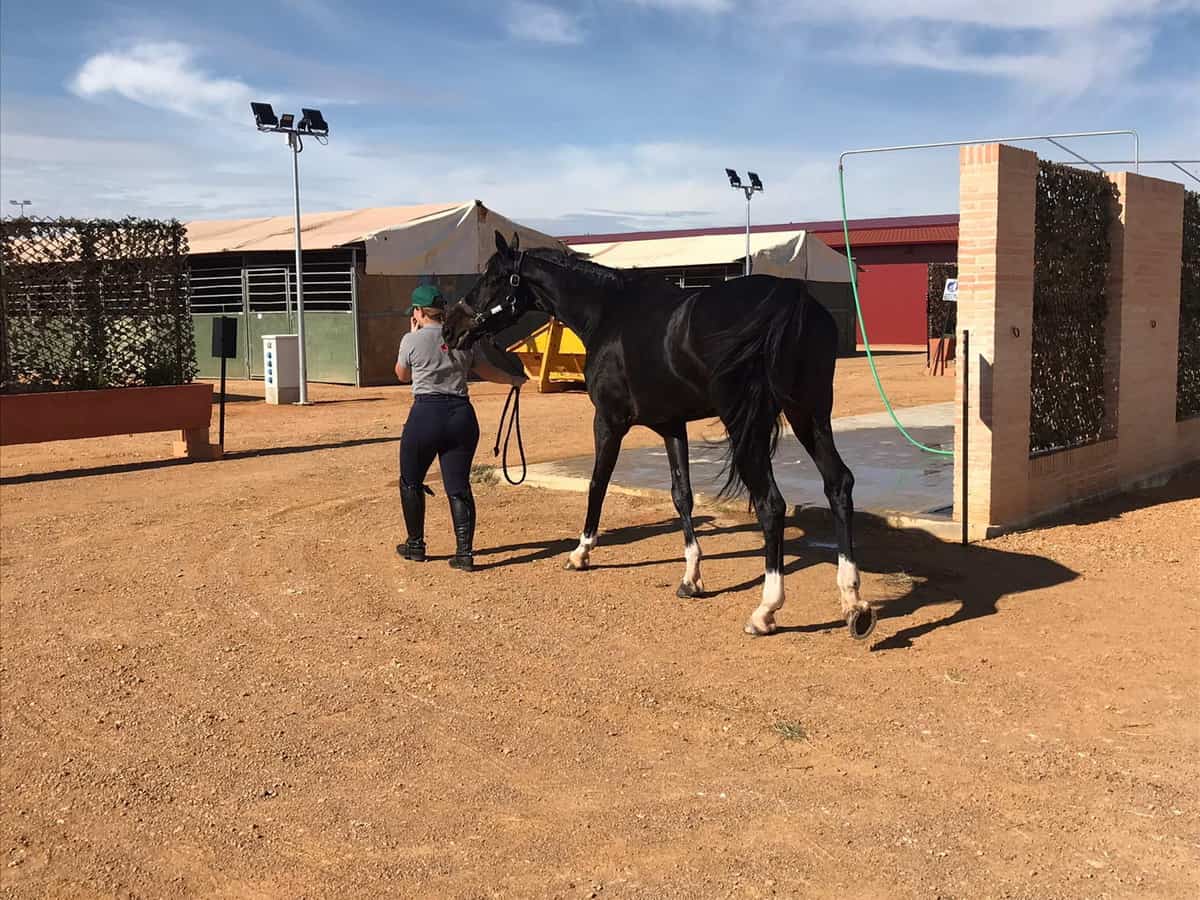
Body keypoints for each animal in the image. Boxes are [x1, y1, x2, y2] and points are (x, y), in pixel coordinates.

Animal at [446, 232, 878, 643]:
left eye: (493, 277)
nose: (452, 328)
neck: (608, 312)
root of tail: (789, 297)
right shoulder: (672, 425)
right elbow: (681, 494)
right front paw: (691, 577)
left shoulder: (609, 420)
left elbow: (598, 484)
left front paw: (581, 552)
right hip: (810, 415)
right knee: (838, 484)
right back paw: (853, 603)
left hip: (749, 425)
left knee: (771, 505)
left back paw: (765, 611)